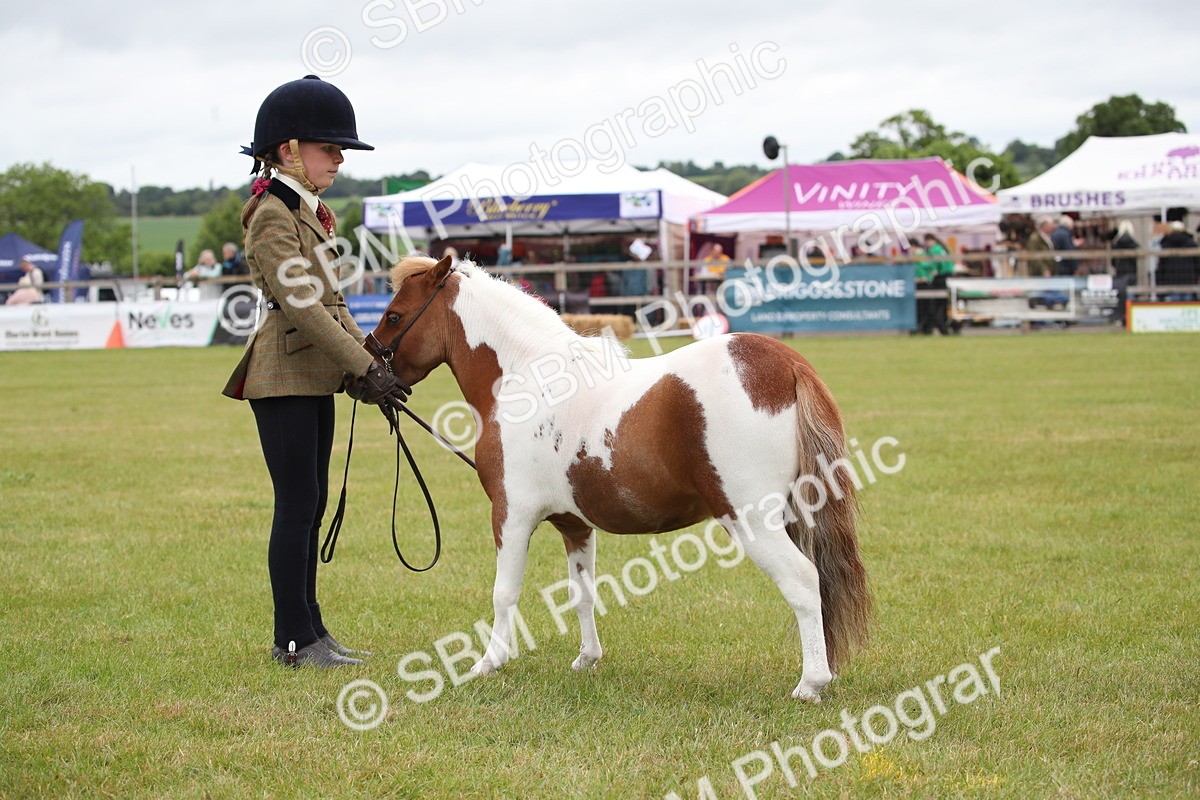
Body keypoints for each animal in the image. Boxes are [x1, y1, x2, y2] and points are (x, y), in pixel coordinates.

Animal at [366, 254, 872, 702]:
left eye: (394, 315)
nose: (368, 376)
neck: (528, 381)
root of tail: (787, 363)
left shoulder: (510, 515)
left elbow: (504, 593)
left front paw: (489, 663)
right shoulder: (574, 524)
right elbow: (582, 593)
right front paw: (587, 658)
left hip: (752, 521)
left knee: (803, 582)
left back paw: (810, 684)